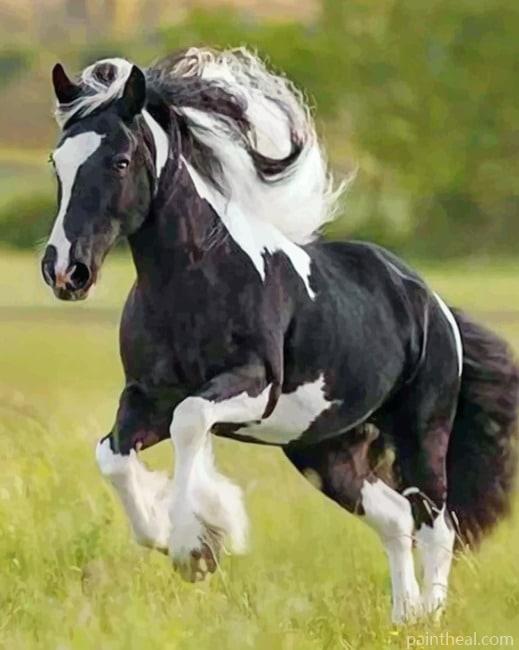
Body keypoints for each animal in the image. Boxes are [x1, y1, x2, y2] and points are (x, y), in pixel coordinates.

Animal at [41, 47, 518, 623]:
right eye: (57, 162)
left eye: (120, 162)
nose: (65, 271)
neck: (193, 282)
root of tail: (434, 304)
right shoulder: (146, 398)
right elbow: (112, 457)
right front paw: (181, 535)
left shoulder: (253, 386)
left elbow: (190, 421)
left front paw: (197, 545)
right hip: (324, 449)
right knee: (394, 518)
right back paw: (402, 618)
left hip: (422, 432)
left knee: (436, 523)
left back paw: (428, 618)